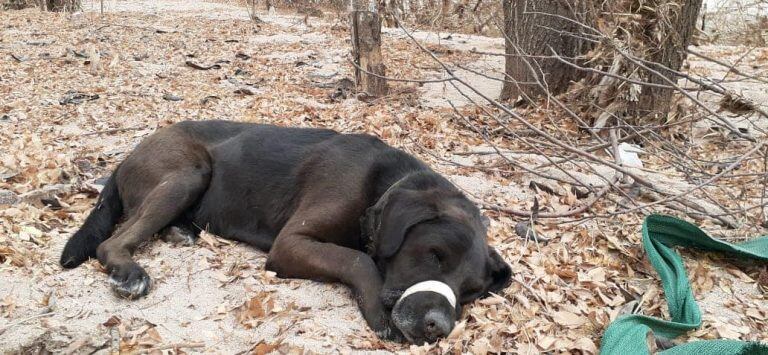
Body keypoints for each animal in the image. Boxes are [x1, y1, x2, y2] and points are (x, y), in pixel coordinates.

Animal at [60, 120, 512, 344]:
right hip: (187, 174)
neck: (380, 188)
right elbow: (358, 259)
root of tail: (127, 155)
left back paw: (180, 231)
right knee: (110, 241)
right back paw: (129, 271)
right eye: (434, 254)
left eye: (472, 292)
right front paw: (378, 312)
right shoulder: (291, 244)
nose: (440, 326)